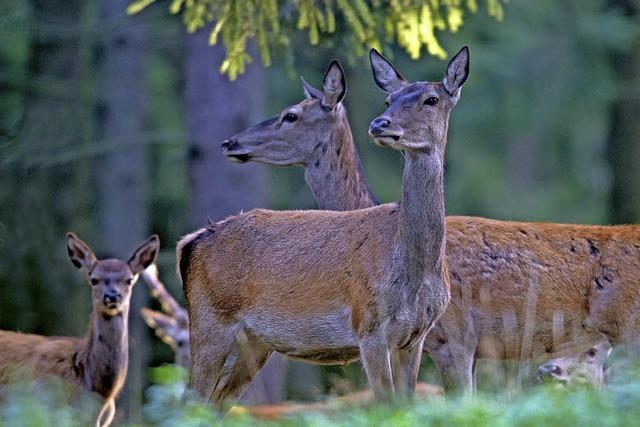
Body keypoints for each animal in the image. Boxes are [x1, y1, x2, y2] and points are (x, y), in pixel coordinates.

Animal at [180, 46, 470, 408]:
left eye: (431, 100)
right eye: (388, 100)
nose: (380, 124)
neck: (414, 270)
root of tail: (191, 241)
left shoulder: (414, 338)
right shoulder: (368, 326)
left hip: (252, 344)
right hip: (209, 324)